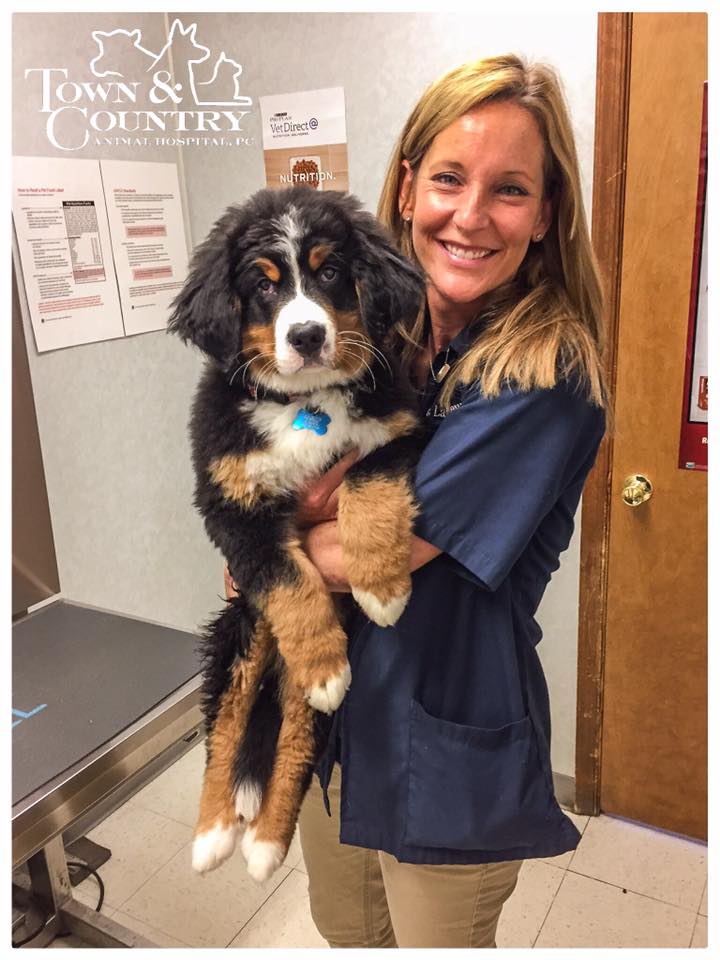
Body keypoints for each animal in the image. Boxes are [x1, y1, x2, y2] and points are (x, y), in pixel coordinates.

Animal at [169, 184, 428, 880]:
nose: (308, 333)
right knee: (228, 723)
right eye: (263, 285)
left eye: (330, 272)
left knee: (295, 732)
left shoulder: (401, 432)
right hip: (241, 629)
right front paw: (326, 653)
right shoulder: (231, 506)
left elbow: (364, 481)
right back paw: (212, 835)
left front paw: (383, 589)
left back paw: (264, 842)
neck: (303, 403)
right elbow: (289, 580)